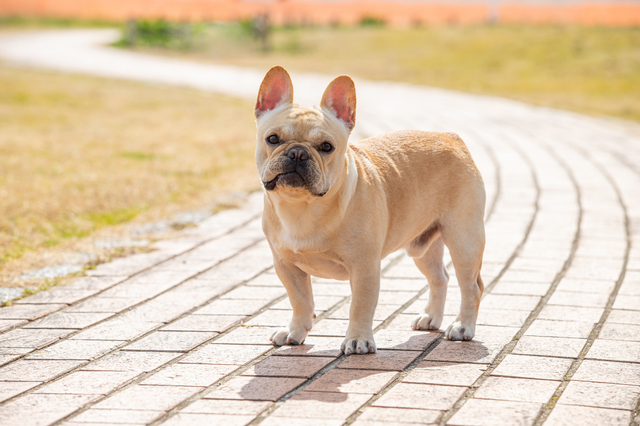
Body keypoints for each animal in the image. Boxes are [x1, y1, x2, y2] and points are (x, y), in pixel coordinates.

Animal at [255, 65, 484, 352]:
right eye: (272, 139)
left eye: (326, 147)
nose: (298, 153)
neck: (303, 207)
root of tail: (450, 137)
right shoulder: (286, 265)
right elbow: (300, 300)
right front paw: (295, 331)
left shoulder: (364, 267)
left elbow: (360, 306)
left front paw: (358, 339)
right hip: (422, 246)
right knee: (439, 277)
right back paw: (431, 317)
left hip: (464, 239)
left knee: (471, 286)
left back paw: (463, 326)